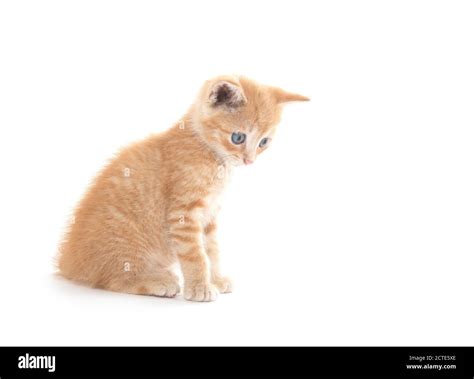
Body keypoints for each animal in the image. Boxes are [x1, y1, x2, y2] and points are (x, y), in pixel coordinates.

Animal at [57, 75, 310, 302]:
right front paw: (200, 288)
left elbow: (212, 250)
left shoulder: (210, 215)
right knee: (113, 279)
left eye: (264, 142)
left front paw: (216, 279)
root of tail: (68, 263)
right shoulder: (184, 213)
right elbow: (196, 255)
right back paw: (158, 281)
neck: (211, 155)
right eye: (238, 137)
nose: (249, 161)